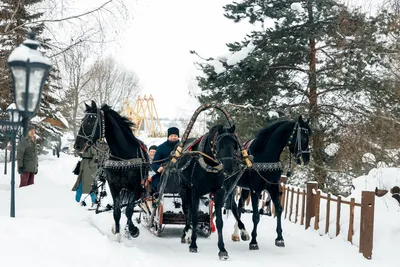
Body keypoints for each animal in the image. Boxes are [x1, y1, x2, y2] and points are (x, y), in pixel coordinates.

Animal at [73, 101, 148, 242]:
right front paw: (117, 234)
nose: (77, 146)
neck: (122, 156)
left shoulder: (135, 187)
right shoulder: (113, 186)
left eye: (90, 121)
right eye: (82, 120)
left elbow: (129, 210)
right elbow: (117, 211)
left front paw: (133, 230)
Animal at [174, 124, 242, 260]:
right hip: (184, 189)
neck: (209, 164)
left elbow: (219, 222)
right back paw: (187, 233)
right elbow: (195, 218)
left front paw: (222, 250)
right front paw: (193, 244)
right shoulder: (194, 191)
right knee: (186, 210)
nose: (229, 168)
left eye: (234, 145)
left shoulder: (219, 192)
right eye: (219, 144)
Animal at [225, 115, 312, 251]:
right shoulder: (255, 191)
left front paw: (280, 238)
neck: (265, 155)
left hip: (244, 188)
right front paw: (254, 242)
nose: (307, 158)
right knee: (232, 204)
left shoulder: (274, 188)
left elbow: (279, 210)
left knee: (239, 205)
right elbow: (255, 216)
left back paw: (237, 233)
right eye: (303, 137)